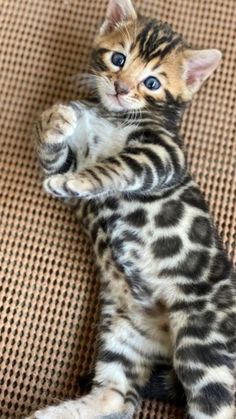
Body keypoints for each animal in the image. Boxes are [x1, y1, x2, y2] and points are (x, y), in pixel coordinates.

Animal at [28, 0, 235, 418]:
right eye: (118, 59)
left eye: (152, 83)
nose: (121, 89)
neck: (114, 116)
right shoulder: (71, 158)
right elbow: (53, 144)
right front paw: (57, 118)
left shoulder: (163, 155)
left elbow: (117, 166)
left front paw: (76, 182)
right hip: (124, 330)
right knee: (117, 397)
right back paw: (52, 412)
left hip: (201, 338)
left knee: (215, 403)